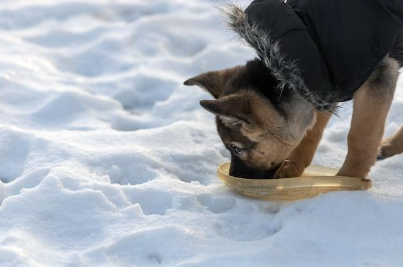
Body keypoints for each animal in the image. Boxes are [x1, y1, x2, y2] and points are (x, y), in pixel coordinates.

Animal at [184, 0, 403, 180]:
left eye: (236, 149)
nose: (234, 178)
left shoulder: (378, 74)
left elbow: (360, 138)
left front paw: (346, 184)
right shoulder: (323, 85)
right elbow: (311, 131)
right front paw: (293, 169)